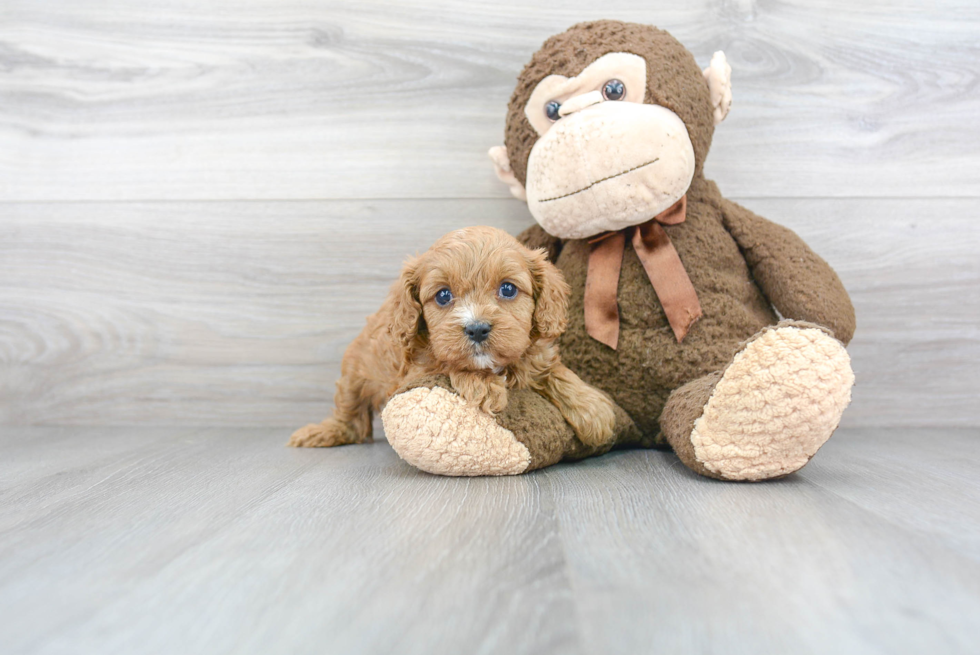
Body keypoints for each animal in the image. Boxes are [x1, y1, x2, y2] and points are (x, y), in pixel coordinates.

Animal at [288, 227, 616, 452]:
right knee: (350, 417)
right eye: (443, 295)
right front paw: (483, 385)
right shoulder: (414, 372)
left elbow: (554, 371)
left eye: (508, 289)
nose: (477, 329)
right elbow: (448, 363)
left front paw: (593, 409)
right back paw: (321, 432)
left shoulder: (535, 355)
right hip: (354, 373)